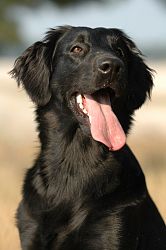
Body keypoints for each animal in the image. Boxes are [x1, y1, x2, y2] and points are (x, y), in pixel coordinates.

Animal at [11, 26, 165, 249]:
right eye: (77, 48)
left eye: (119, 51)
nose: (113, 66)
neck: (74, 162)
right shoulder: (31, 231)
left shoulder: (112, 228)